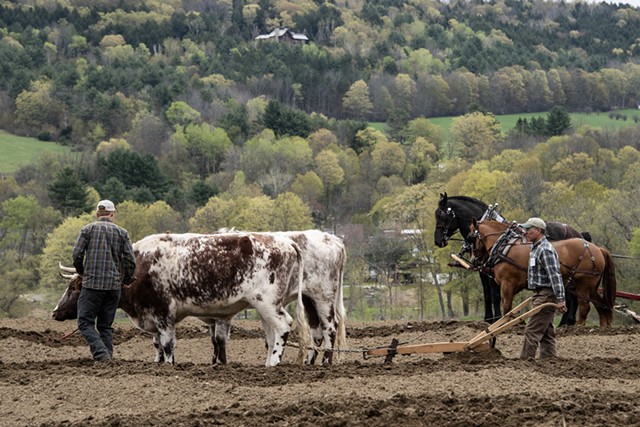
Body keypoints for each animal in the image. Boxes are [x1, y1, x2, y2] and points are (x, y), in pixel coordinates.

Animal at [436, 192, 592, 326]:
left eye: (442, 215)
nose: (437, 241)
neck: (499, 239)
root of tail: (579, 233)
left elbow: (495, 296)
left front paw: (497, 319)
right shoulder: (483, 272)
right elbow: (487, 295)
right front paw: (488, 319)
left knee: (572, 297)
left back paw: (566, 322)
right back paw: (566, 322)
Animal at [470, 221, 616, 328]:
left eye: (471, 237)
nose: (473, 261)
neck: (505, 247)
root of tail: (597, 249)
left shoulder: (508, 284)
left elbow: (506, 305)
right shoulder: (515, 285)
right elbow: (511, 307)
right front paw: (518, 322)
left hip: (583, 285)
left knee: (585, 306)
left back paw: (578, 327)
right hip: (591, 287)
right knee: (601, 304)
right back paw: (603, 326)